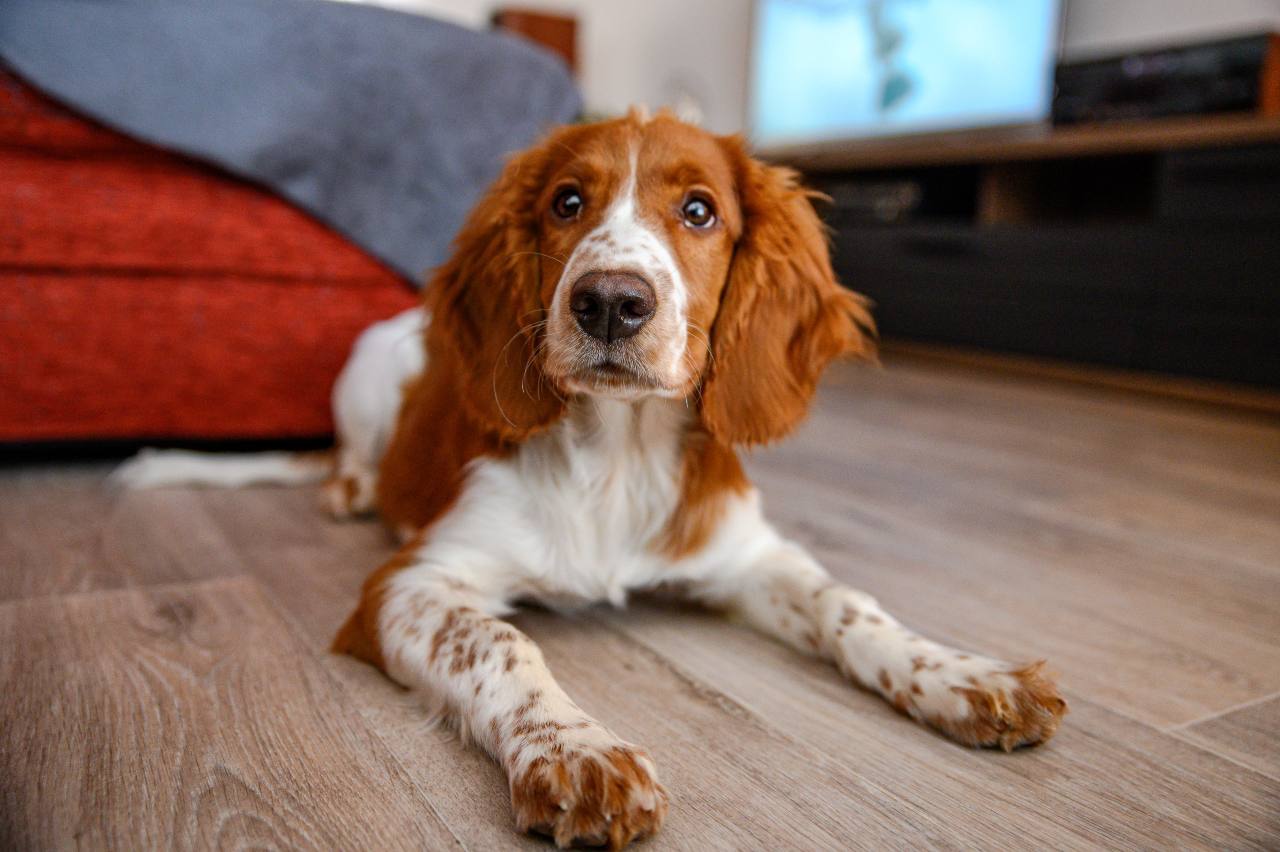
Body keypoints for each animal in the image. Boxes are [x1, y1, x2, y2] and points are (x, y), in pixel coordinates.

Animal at [120, 109, 1064, 844]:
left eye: (699, 210)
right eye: (566, 203)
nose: (610, 301)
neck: (618, 453)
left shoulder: (747, 556)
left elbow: (848, 602)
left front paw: (965, 677)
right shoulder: (408, 584)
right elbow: (503, 642)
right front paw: (576, 752)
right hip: (366, 361)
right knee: (352, 458)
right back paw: (349, 489)